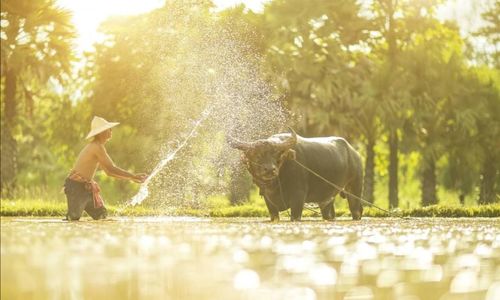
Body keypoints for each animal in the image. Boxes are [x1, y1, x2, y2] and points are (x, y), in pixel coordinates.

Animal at [229, 130, 364, 221]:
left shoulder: (298, 196)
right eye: (256, 156)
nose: (270, 170)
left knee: (356, 210)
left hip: (354, 187)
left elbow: (295, 215)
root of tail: (355, 153)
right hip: (327, 197)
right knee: (329, 212)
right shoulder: (269, 201)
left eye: (276, 155)